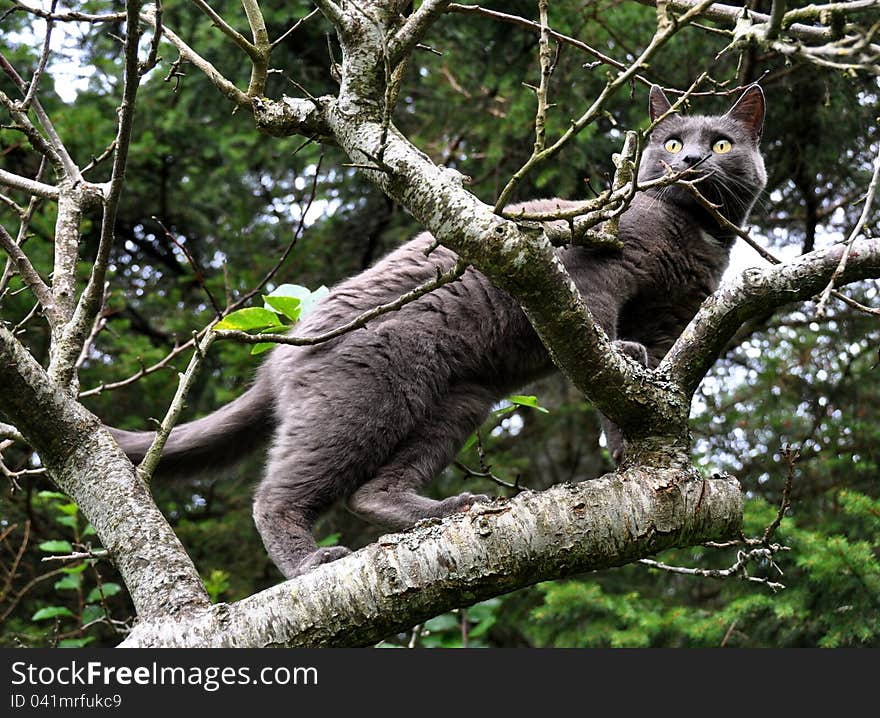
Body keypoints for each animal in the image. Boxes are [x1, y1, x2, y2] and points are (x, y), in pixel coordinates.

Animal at [110, 86, 768, 580]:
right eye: (672, 142)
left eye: (721, 143)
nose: (690, 162)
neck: (693, 233)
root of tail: (280, 355)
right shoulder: (594, 267)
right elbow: (597, 330)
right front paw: (620, 358)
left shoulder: (671, 321)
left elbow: (638, 391)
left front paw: (632, 447)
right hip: (364, 397)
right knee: (277, 494)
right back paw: (309, 563)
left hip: (456, 401)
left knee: (371, 491)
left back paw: (450, 508)